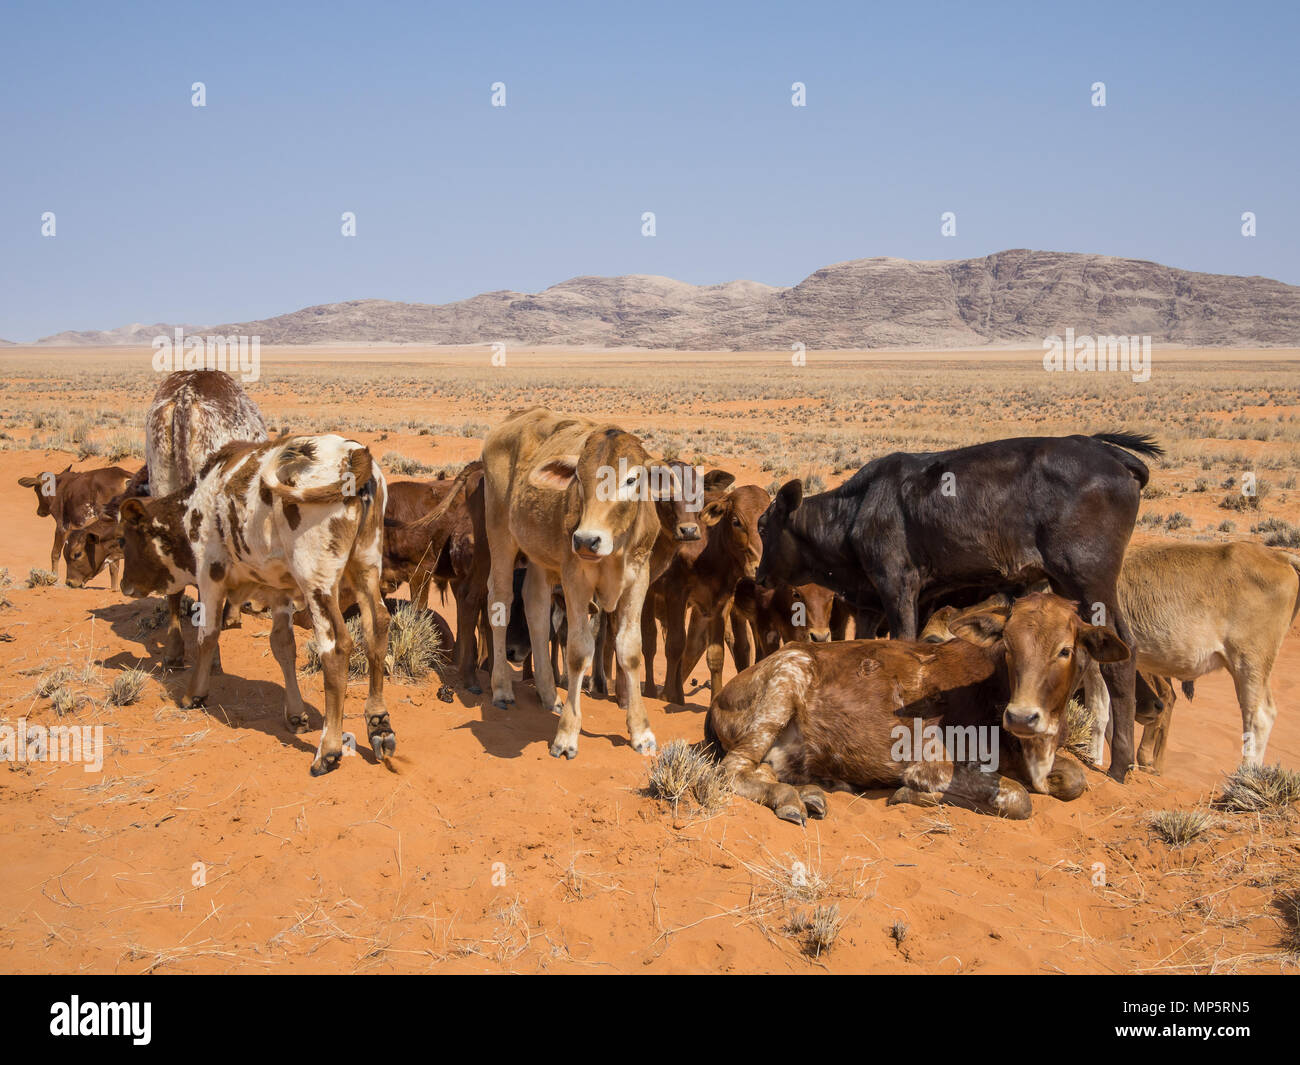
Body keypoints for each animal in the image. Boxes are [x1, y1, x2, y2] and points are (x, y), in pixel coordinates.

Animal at [119, 434, 387, 775]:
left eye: (124, 539)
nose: (125, 585)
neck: (198, 499)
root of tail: (352, 453)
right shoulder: (279, 591)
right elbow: (283, 646)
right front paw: (295, 713)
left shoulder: (210, 574)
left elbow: (207, 636)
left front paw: (194, 694)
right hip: (366, 566)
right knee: (377, 627)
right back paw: (379, 722)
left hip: (318, 581)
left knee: (336, 647)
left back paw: (328, 748)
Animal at [702, 590, 1128, 827]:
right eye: (1007, 644)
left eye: (1065, 650)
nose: (1022, 716)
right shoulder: (932, 764)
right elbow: (1018, 798)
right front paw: (908, 795)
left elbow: (1075, 779)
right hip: (784, 684)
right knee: (732, 771)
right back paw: (792, 800)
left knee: (763, 769)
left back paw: (814, 791)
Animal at [759, 429, 1164, 785]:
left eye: (764, 526)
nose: (760, 576)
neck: (857, 509)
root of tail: (1109, 453)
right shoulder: (869, 606)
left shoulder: (899, 589)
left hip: (1090, 581)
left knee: (1123, 656)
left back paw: (1120, 765)